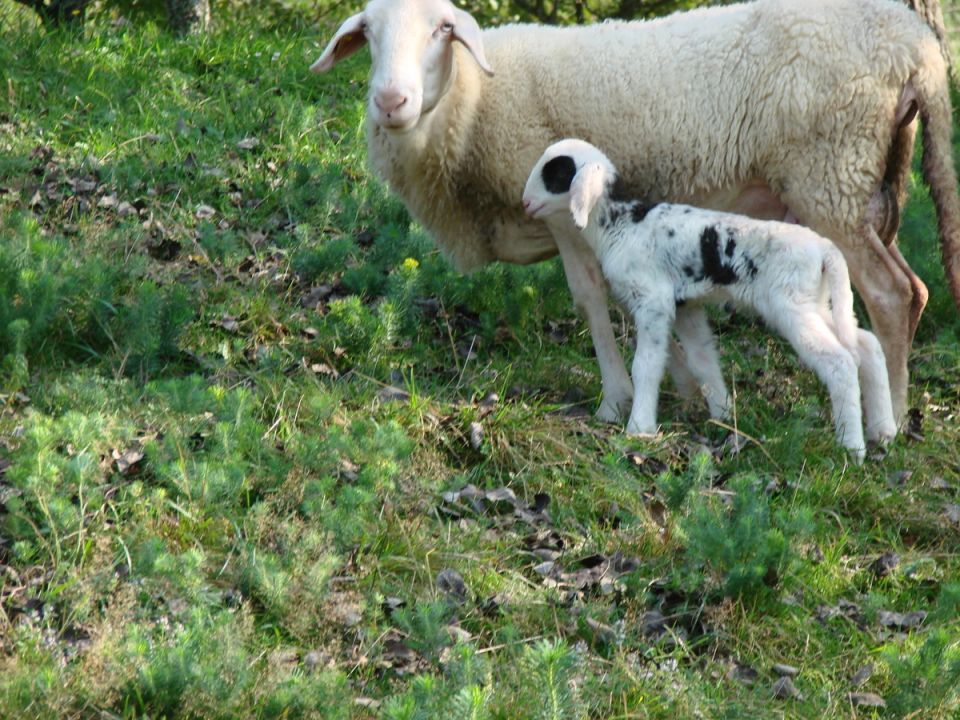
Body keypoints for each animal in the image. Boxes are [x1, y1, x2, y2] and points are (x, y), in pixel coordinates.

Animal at [314, 0, 960, 428]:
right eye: (368, 33)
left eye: (442, 30)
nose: (391, 101)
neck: (472, 102)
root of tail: (916, 45)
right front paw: (690, 393)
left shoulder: (562, 217)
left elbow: (590, 298)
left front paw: (617, 400)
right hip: (864, 186)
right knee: (914, 290)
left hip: (830, 174)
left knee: (892, 295)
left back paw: (890, 419)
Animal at [520, 141, 896, 462]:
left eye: (554, 174)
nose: (524, 203)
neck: (622, 223)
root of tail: (825, 249)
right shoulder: (688, 308)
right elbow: (704, 363)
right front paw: (723, 417)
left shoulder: (654, 302)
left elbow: (646, 365)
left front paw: (640, 428)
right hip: (816, 303)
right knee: (867, 345)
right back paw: (884, 430)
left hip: (792, 308)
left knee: (840, 362)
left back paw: (852, 447)